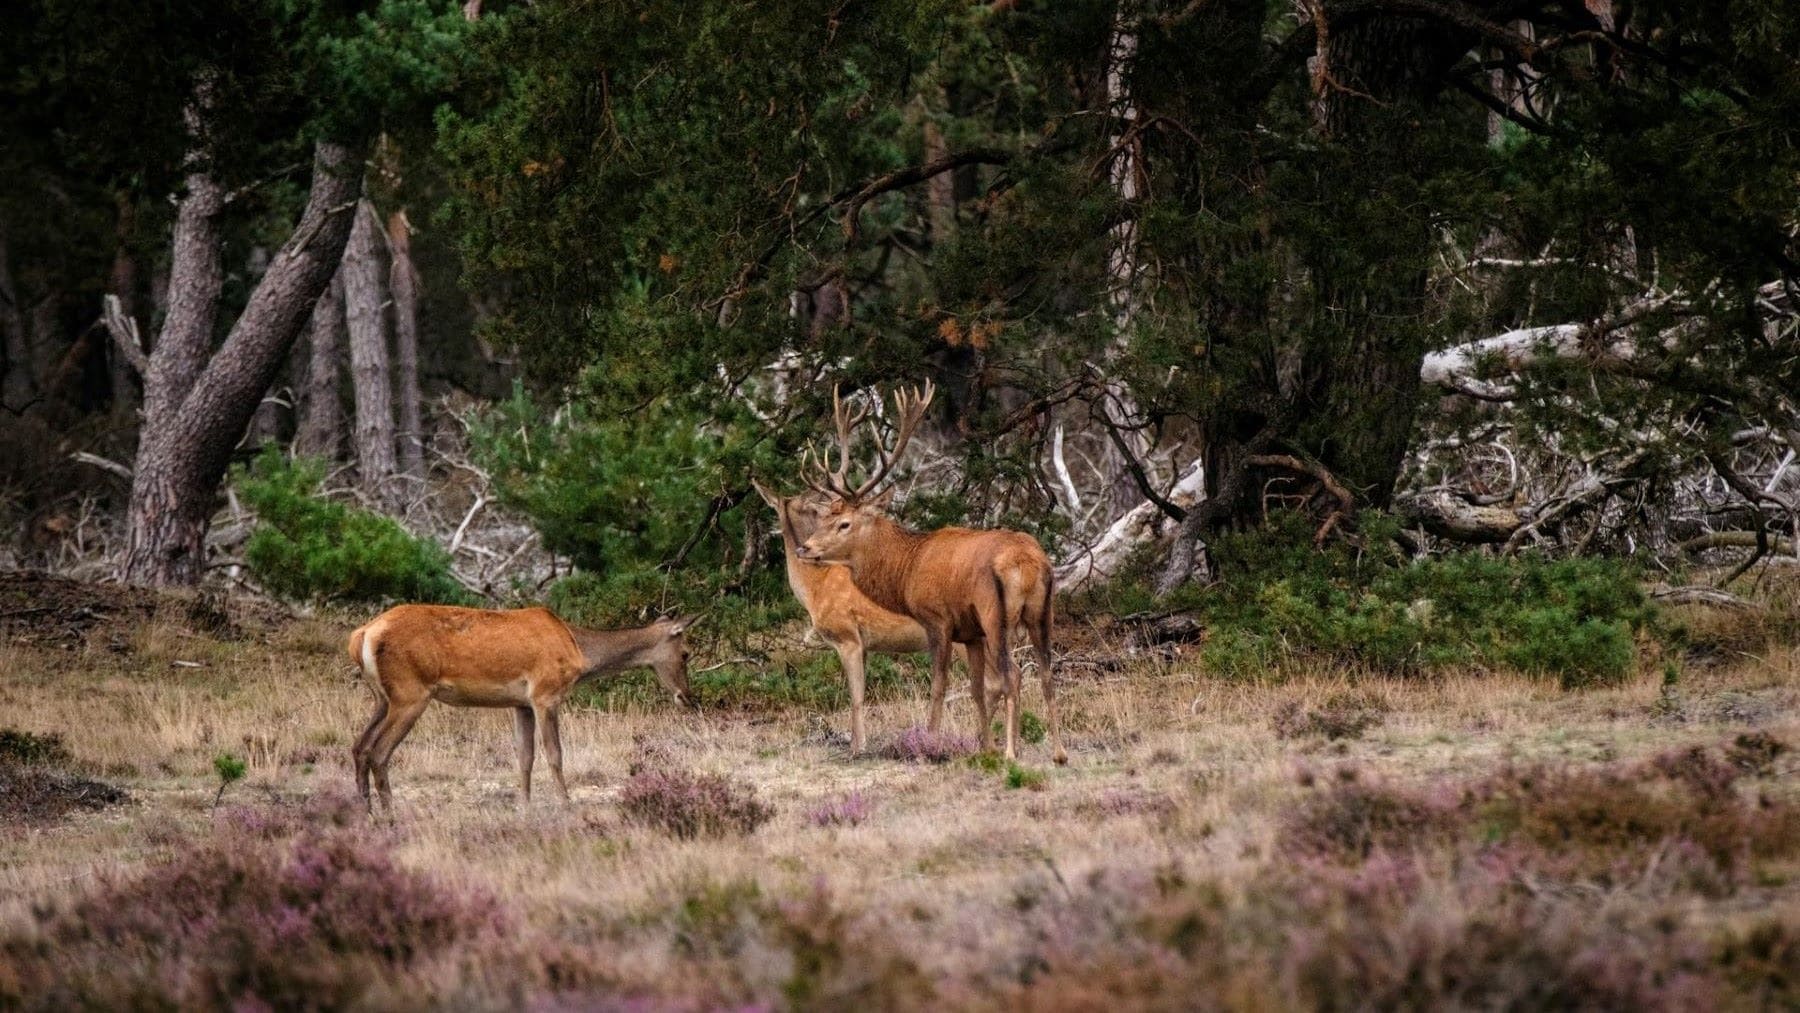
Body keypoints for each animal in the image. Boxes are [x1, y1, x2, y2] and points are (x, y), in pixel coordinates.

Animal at [345, 605, 695, 811]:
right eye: (686, 653)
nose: (687, 697)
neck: (579, 653)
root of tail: (361, 635)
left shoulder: (520, 704)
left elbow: (525, 756)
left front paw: (523, 807)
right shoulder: (545, 694)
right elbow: (554, 753)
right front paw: (565, 803)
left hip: (383, 697)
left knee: (359, 746)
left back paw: (365, 812)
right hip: (410, 692)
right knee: (379, 751)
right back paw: (390, 814)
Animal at [751, 482, 966, 754]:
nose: (803, 549)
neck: (815, 587)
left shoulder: (847, 637)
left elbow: (855, 696)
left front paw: (857, 746)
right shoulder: (865, 645)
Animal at [794, 381, 1066, 765]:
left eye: (844, 523)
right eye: (823, 518)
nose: (805, 548)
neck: (907, 568)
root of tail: (1028, 563)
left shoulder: (938, 619)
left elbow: (939, 685)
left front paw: (932, 742)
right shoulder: (970, 632)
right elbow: (977, 688)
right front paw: (984, 746)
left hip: (995, 613)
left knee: (1013, 674)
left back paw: (1013, 753)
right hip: (1042, 612)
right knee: (1045, 672)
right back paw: (1058, 753)